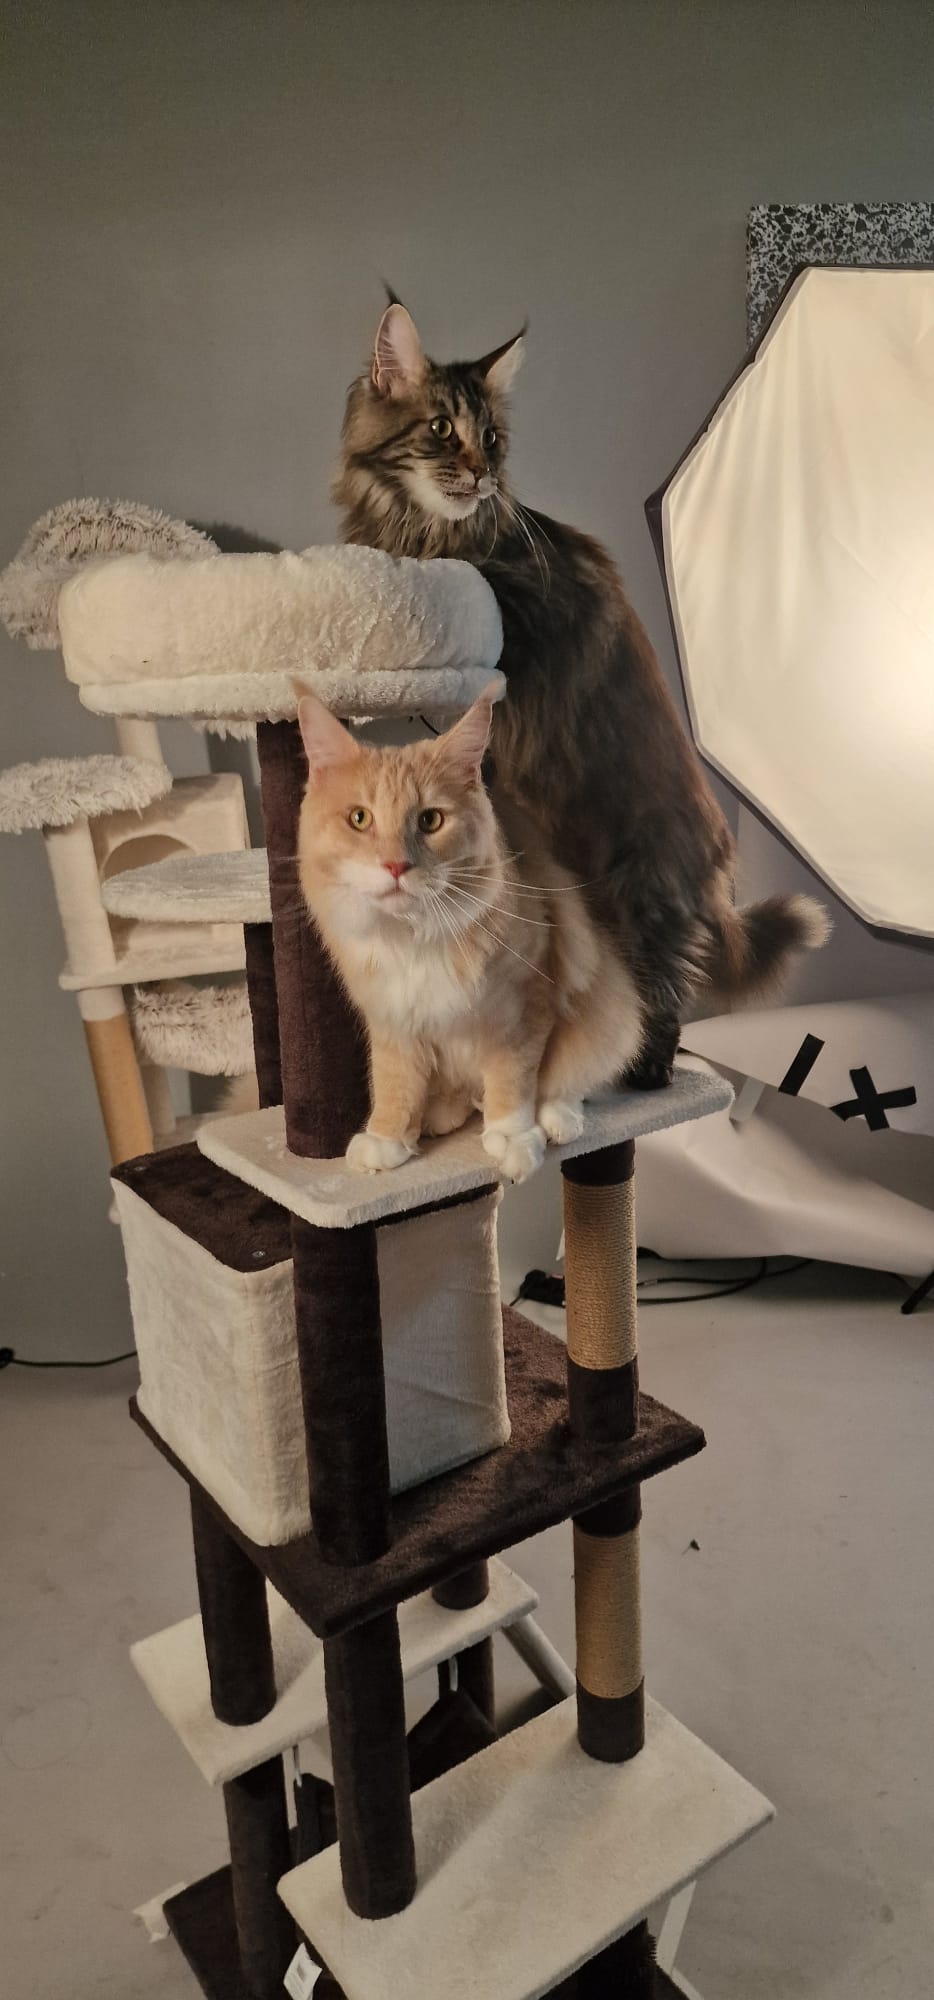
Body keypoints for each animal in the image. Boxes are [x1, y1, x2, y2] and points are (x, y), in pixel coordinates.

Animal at [295, 687, 645, 1181]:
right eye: (360, 819)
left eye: (430, 821)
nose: (396, 866)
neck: (415, 938)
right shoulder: (392, 1018)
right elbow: (395, 1083)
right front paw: (387, 1138)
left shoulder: (521, 1009)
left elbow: (513, 1082)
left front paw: (513, 1140)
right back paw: (440, 1114)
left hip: (608, 1014)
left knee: (571, 1082)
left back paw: (556, 1119)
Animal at [334, 300, 829, 1086]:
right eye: (442, 428)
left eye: (493, 439)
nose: (482, 475)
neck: (423, 525)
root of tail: (719, 866)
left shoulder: (517, 610)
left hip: (639, 894)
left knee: (663, 998)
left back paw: (639, 1078)